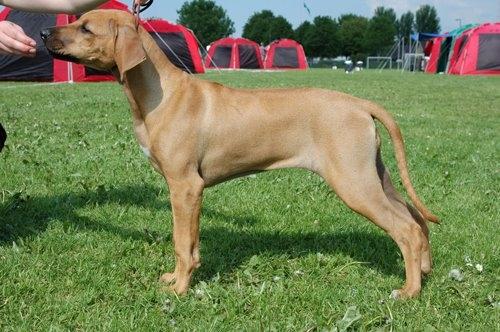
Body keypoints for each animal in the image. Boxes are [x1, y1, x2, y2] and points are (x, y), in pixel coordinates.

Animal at [42, 9, 438, 298]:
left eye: (86, 28)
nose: (45, 33)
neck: (160, 93)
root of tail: (360, 104)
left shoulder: (184, 187)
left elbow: (181, 243)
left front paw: (180, 290)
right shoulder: (189, 192)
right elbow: (190, 245)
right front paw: (179, 278)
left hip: (354, 182)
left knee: (405, 228)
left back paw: (409, 291)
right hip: (374, 175)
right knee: (416, 219)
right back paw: (423, 271)